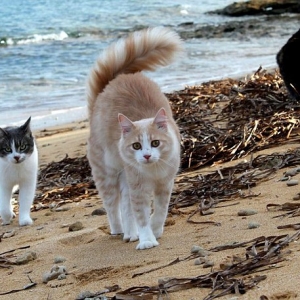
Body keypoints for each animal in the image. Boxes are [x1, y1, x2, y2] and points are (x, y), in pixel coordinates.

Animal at [85, 27, 182, 250]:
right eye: (136, 145)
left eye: (155, 143)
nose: (146, 156)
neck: (153, 171)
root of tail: (112, 83)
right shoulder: (138, 188)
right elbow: (141, 216)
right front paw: (147, 239)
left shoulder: (165, 185)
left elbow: (160, 211)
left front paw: (155, 230)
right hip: (108, 174)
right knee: (113, 207)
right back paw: (122, 231)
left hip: (124, 179)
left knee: (124, 206)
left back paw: (131, 233)